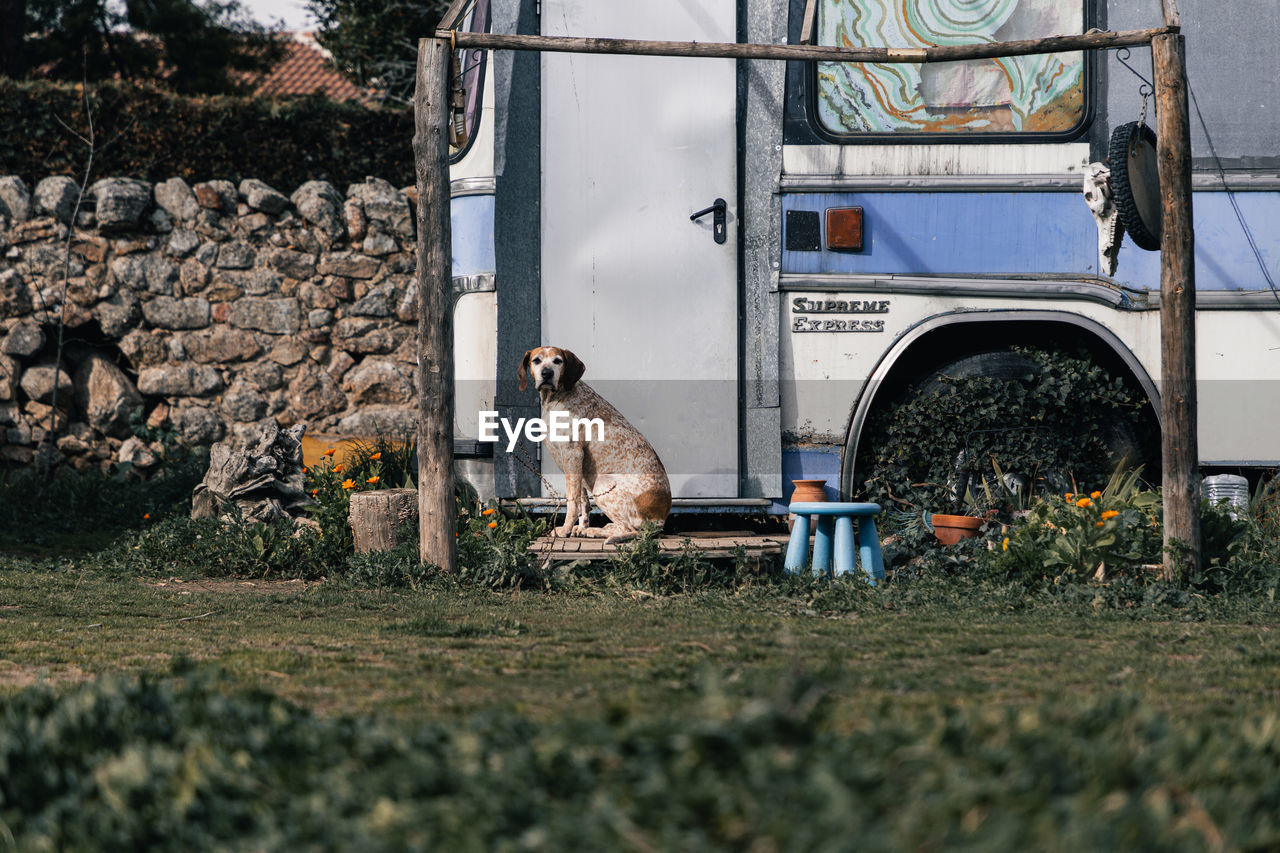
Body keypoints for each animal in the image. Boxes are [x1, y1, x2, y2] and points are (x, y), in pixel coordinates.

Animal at [517, 348, 675, 540]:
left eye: (558, 361)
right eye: (536, 360)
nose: (547, 373)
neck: (556, 397)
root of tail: (660, 520)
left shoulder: (572, 455)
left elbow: (572, 502)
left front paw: (565, 529)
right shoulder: (576, 465)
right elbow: (583, 502)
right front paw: (578, 527)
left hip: (602, 482)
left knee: (629, 529)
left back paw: (594, 531)